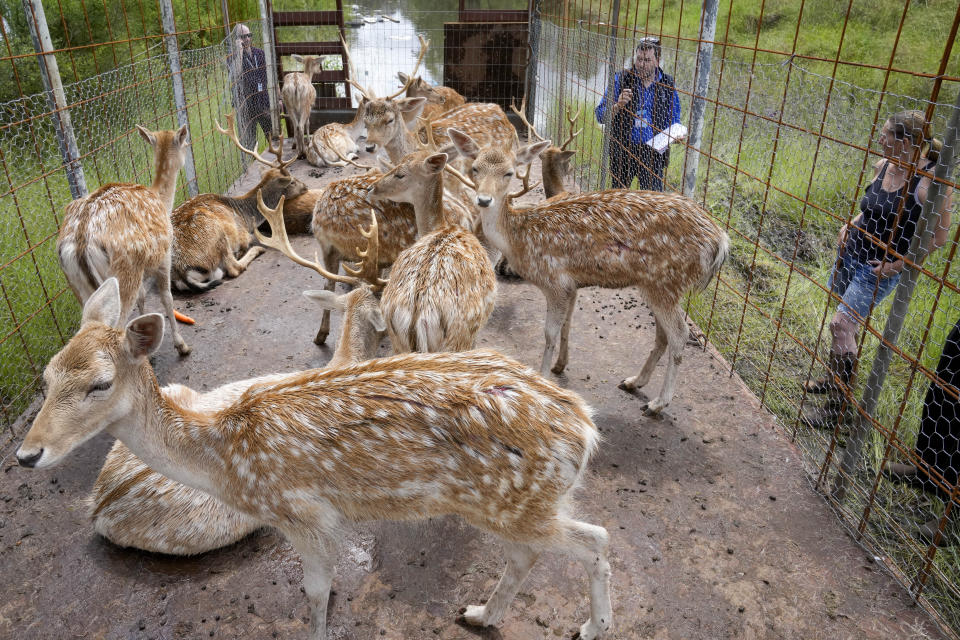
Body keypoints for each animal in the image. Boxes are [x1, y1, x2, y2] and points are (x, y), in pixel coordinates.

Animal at [16, 276, 616, 640]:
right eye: (45, 375)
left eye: (99, 384)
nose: (26, 453)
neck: (223, 458)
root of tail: (586, 431)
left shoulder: (301, 513)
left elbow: (316, 590)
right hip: (512, 505)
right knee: (530, 555)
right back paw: (480, 614)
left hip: (516, 502)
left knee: (595, 540)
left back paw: (592, 627)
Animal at [56, 122, 193, 358]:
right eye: (184, 143)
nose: (190, 144)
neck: (162, 201)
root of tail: (81, 241)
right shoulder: (165, 256)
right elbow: (166, 298)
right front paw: (182, 345)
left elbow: (143, 297)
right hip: (124, 274)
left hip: (78, 285)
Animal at [169, 115, 308, 292]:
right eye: (292, 181)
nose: (305, 186)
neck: (244, 215)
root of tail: (181, 272)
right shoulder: (242, 234)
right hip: (218, 235)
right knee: (233, 268)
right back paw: (257, 250)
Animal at [446, 129, 732, 416]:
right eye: (475, 168)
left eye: (509, 172)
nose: (484, 199)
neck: (519, 239)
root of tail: (720, 241)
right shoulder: (571, 285)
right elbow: (565, 326)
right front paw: (559, 366)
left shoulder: (555, 281)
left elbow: (549, 333)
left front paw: (543, 379)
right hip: (658, 286)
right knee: (663, 336)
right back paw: (633, 381)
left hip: (666, 281)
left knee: (679, 335)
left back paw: (658, 403)